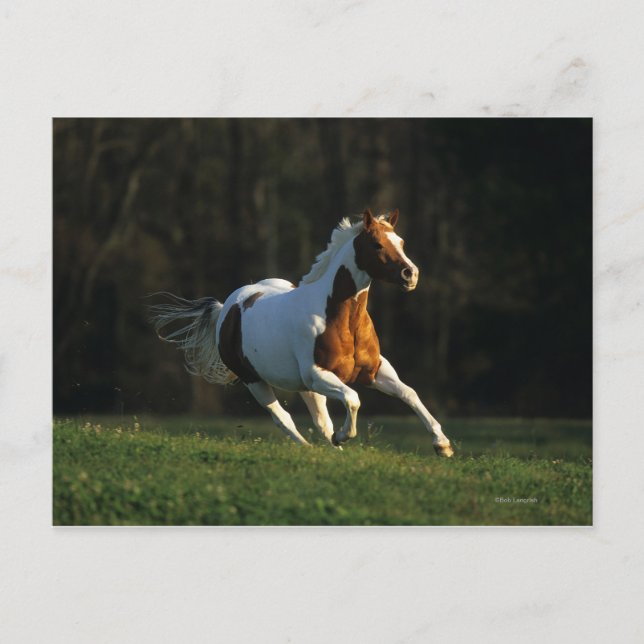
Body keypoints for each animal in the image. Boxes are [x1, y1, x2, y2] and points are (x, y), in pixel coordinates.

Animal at [149, 208, 454, 457]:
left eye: (401, 242)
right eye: (377, 244)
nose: (410, 274)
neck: (341, 320)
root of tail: (228, 308)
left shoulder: (374, 370)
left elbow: (409, 393)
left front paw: (443, 445)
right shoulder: (317, 374)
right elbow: (353, 399)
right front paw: (343, 436)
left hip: (305, 388)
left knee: (320, 420)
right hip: (256, 381)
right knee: (283, 418)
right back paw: (310, 448)